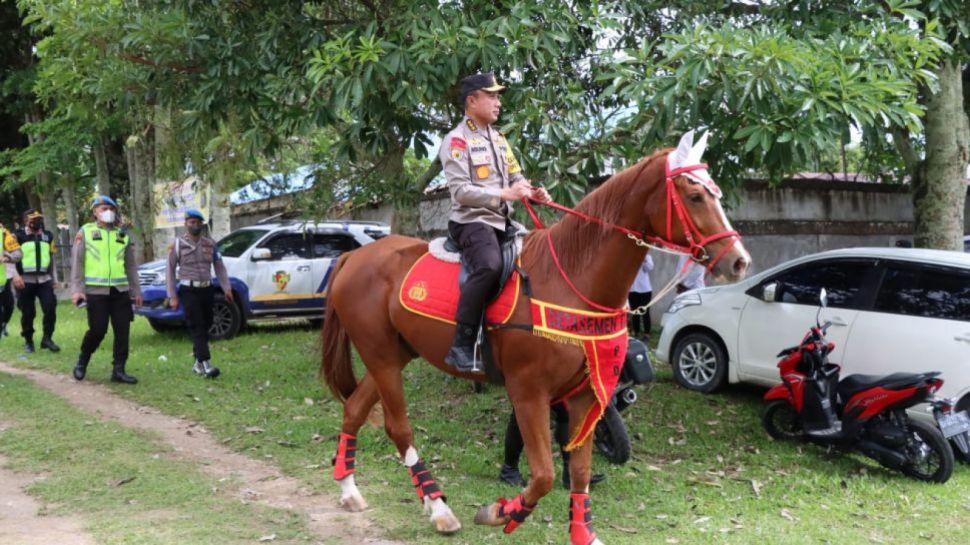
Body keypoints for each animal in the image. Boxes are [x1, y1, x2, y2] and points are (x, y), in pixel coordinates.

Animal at [322, 133, 752, 544]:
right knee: (399, 428)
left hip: (394, 354)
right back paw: (439, 509)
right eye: (695, 196)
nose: (739, 261)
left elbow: (579, 472)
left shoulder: (584, 394)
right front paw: (502, 512)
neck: (571, 280)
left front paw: (583, 534)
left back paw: (350, 489)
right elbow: (544, 474)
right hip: (381, 357)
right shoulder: (528, 391)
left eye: (715, 193)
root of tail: (355, 256)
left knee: (354, 409)